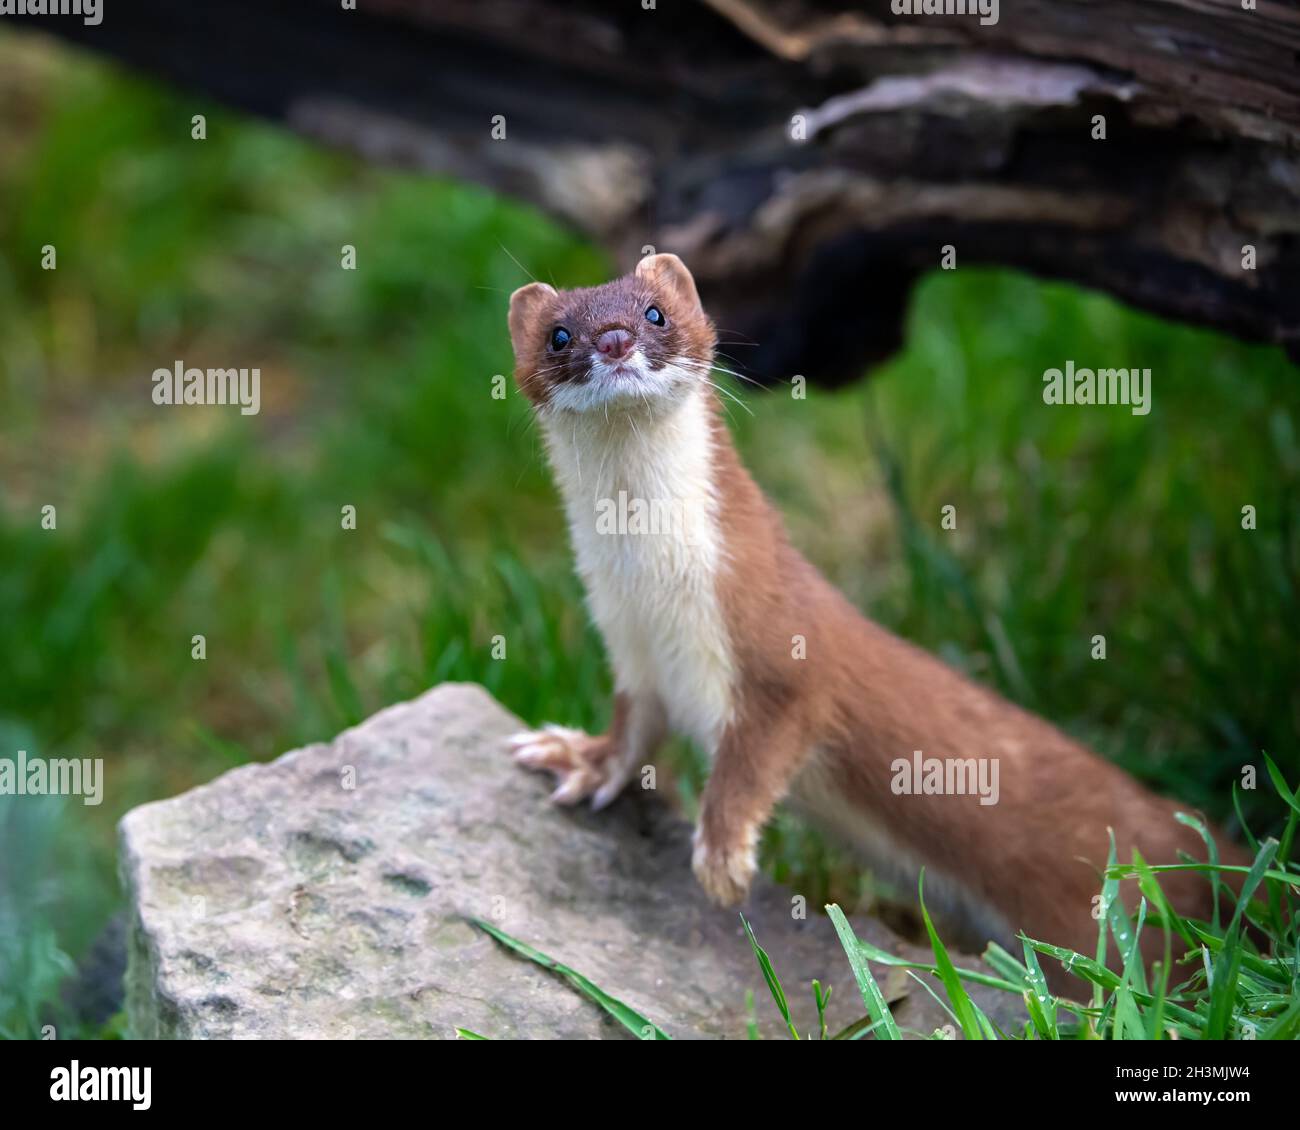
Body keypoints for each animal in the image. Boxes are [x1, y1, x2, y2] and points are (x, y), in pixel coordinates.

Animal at [501, 250, 1242, 972]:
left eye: (655, 312)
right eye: (559, 334)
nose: (614, 339)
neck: (653, 599)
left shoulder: (781, 643)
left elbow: (761, 747)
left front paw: (722, 856)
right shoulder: (631, 650)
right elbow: (633, 728)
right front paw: (580, 758)